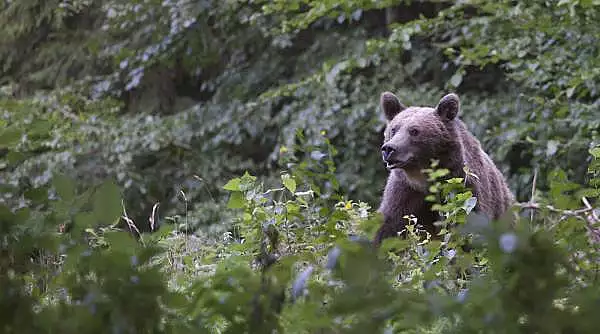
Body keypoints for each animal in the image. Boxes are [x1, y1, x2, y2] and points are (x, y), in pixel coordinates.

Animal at [372, 92, 512, 247]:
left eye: (414, 131)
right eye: (393, 129)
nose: (389, 149)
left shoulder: (463, 188)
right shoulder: (405, 192)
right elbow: (387, 228)